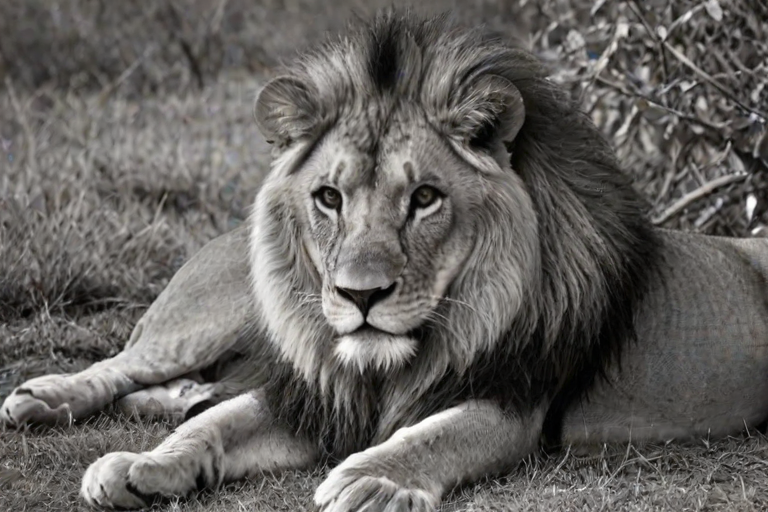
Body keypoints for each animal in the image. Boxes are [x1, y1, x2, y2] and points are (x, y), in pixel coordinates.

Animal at [3, 10, 768, 512]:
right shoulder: (310, 391)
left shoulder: (510, 397)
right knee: (128, 364)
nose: (359, 296)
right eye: (329, 197)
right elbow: (210, 428)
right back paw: (44, 397)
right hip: (216, 314)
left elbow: (431, 435)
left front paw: (371, 480)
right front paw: (142, 465)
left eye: (425, 197)